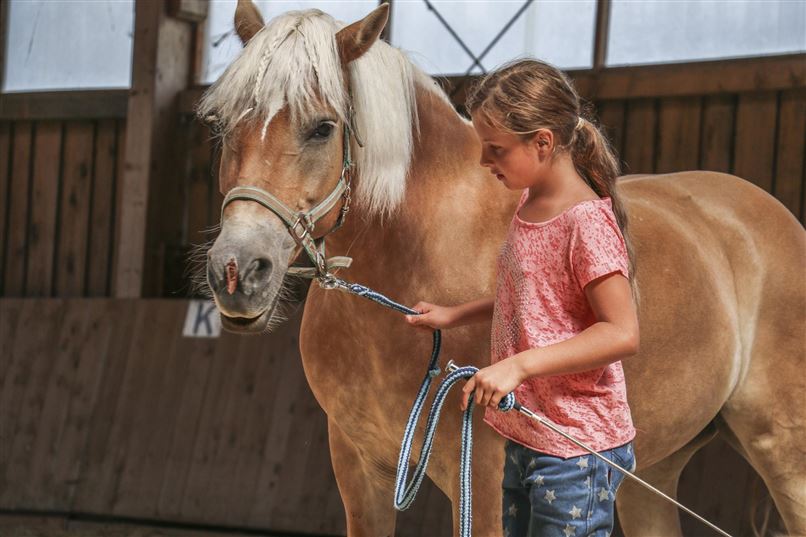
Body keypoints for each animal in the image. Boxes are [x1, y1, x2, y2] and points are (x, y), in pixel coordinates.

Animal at [198, 2, 806, 535]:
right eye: (223, 124)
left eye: (323, 127)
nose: (237, 271)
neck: (420, 248)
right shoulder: (357, 466)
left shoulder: (486, 479)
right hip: (649, 472)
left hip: (784, 452)